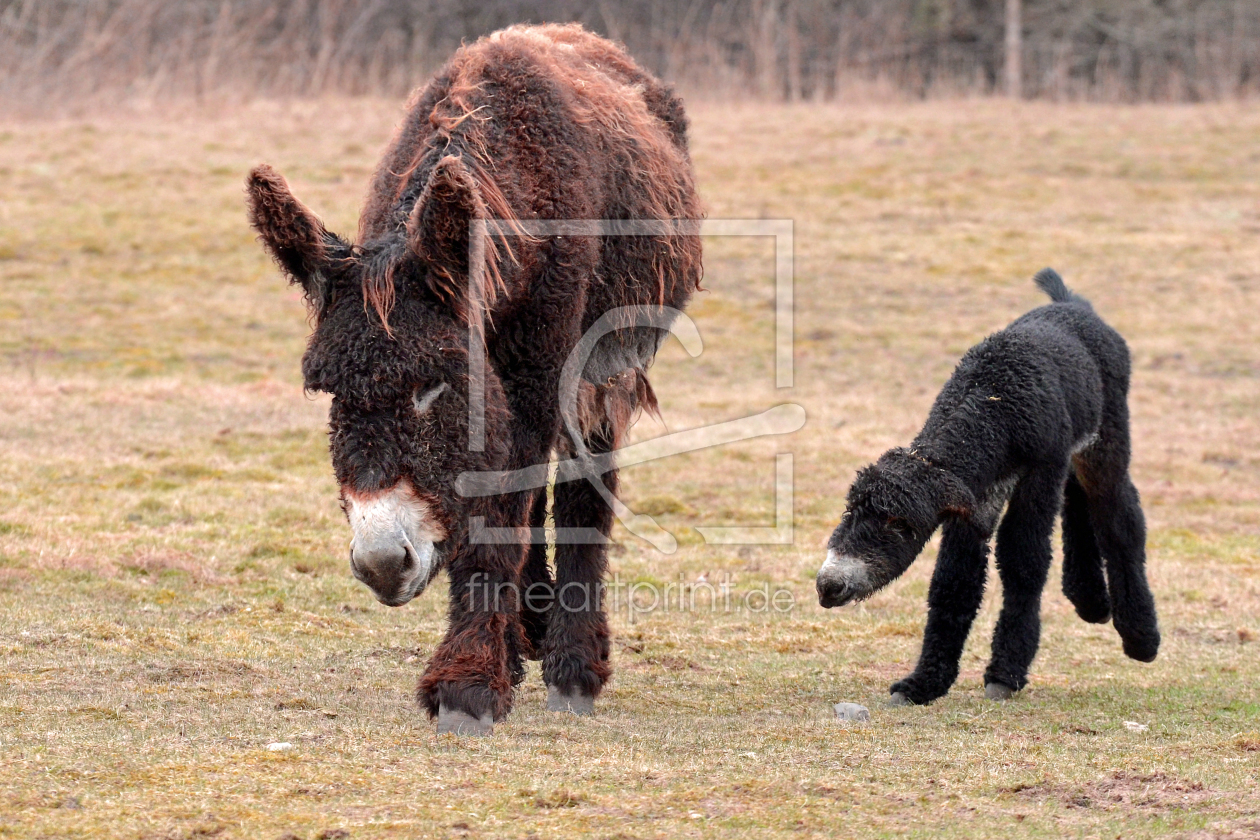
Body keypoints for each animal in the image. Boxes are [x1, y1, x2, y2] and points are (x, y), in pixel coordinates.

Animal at [816, 273, 1159, 705]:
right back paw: (1091, 601)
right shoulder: (973, 502)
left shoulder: (1039, 473)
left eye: (899, 525)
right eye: (849, 512)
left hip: (1106, 443)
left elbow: (1023, 560)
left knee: (1119, 518)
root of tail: (1073, 305)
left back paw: (1140, 638)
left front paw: (1005, 674)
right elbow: (953, 581)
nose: (829, 587)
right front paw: (924, 683)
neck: (992, 402)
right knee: (1078, 503)